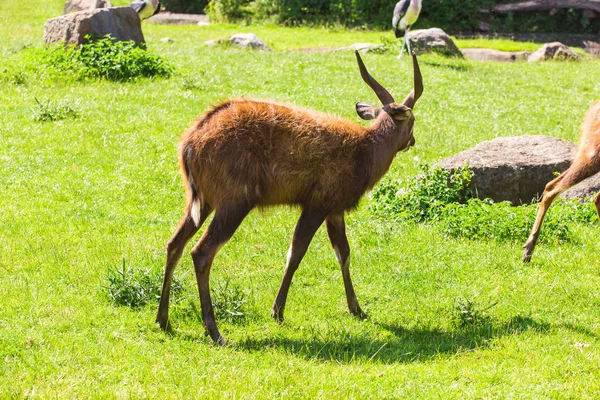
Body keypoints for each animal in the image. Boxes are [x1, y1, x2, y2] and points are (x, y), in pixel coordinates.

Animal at [157, 50, 424, 344]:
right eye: (412, 120)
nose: (412, 140)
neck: (365, 154)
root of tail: (189, 145)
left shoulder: (335, 209)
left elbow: (343, 252)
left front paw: (357, 309)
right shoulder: (318, 203)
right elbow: (296, 252)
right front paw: (277, 311)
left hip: (201, 202)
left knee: (174, 244)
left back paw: (163, 320)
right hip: (234, 201)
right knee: (201, 252)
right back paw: (215, 332)